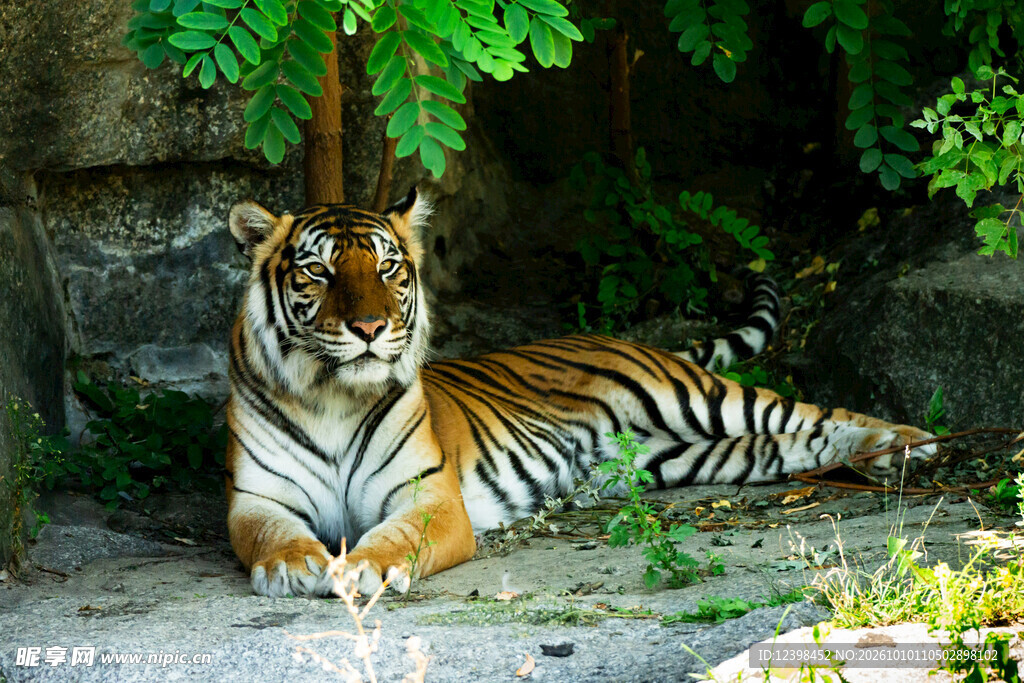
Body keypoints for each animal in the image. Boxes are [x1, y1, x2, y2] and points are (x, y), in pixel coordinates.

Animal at [225, 188, 936, 598]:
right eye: (318, 271)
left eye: (388, 267)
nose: (371, 329)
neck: (333, 398)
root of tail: (613, 337)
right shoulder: (257, 499)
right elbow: (269, 535)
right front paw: (293, 566)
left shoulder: (429, 497)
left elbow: (398, 538)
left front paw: (362, 568)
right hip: (677, 457)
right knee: (789, 444)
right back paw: (877, 458)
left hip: (696, 397)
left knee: (811, 411)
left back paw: (908, 443)